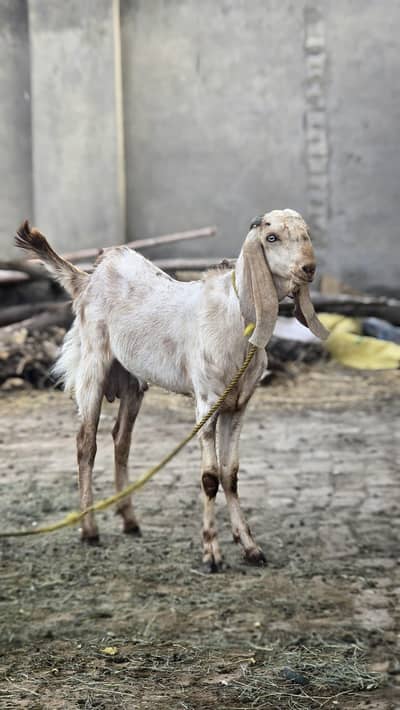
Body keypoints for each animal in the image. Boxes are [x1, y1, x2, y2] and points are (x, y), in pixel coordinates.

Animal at [16, 210, 328, 571]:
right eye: (271, 237)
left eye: (306, 234)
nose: (308, 268)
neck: (237, 318)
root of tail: (86, 279)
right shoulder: (207, 400)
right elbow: (210, 477)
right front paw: (211, 554)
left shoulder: (238, 406)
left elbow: (231, 474)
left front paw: (251, 548)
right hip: (93, 365)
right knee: (86, 444)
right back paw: (89, 529)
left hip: (132, 381)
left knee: (121, 440)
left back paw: (130, 520)